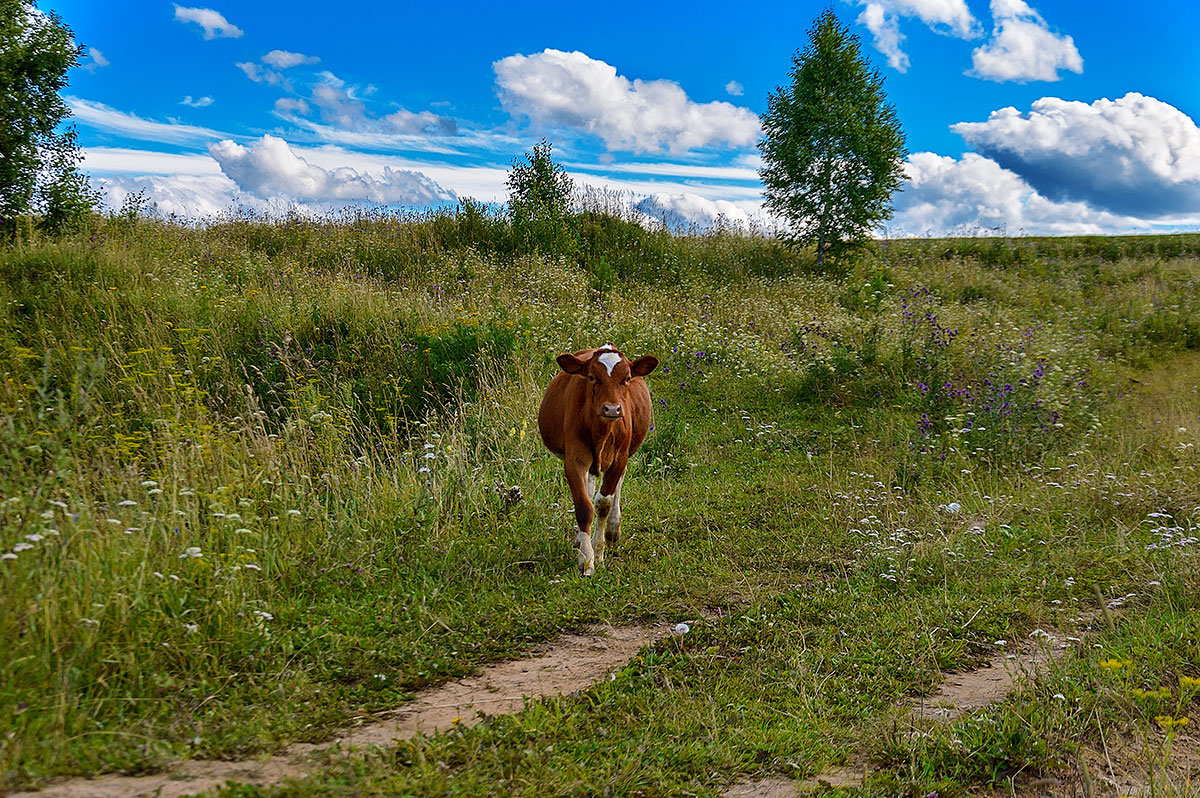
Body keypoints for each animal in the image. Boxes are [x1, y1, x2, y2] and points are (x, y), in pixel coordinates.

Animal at [540, 343, 662, 573]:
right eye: (591, 377)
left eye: (627, 378)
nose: (612, 408)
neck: (601, 431)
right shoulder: (574, 459)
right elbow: (584, 506)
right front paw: (586, 559)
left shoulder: (620, 458)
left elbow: (604, 502)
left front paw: (598, 551)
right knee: (589, 488)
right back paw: (581, 539)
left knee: (617, 486)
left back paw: (613, 529)